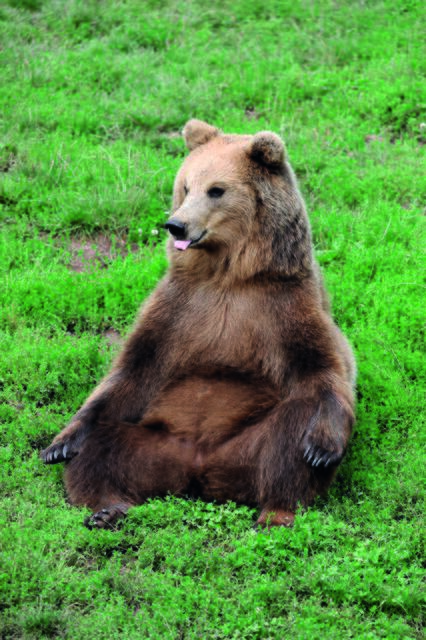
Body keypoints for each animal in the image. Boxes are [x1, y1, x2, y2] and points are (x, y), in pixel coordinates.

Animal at [41, 119, 356, 529]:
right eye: (186, 186)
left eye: (216, 190)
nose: (176, 225)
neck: (227, 274)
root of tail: (199, 470)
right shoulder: (179, 307)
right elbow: (130, 373)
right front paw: (58, 443)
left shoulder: (283, 305)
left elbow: (323, 371)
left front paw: (322, 447)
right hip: (153, 446)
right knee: (102, 445)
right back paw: (107, 507)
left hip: (245, 449)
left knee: (290, 435)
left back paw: (277, 513)